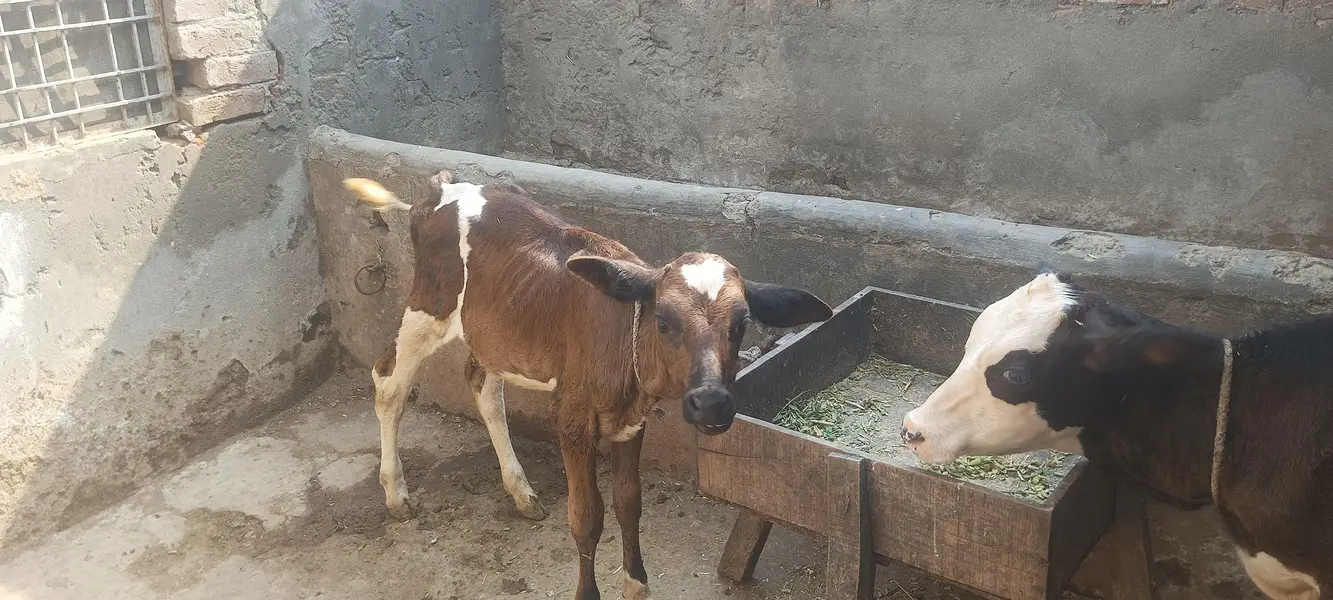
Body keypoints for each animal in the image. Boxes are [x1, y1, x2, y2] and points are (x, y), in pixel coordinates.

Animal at [343, 171, 833, 600]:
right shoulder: (572, 419)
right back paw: (396, 493)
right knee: (389, 383)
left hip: (493, 329)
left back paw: (520, 491)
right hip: (428, 306)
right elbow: (586, 517)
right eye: (663, 321)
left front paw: (637, 585)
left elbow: (629, 503)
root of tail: (440, 187)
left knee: (483, 387)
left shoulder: (632, 422)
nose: (711, 402)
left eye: (742, 325)